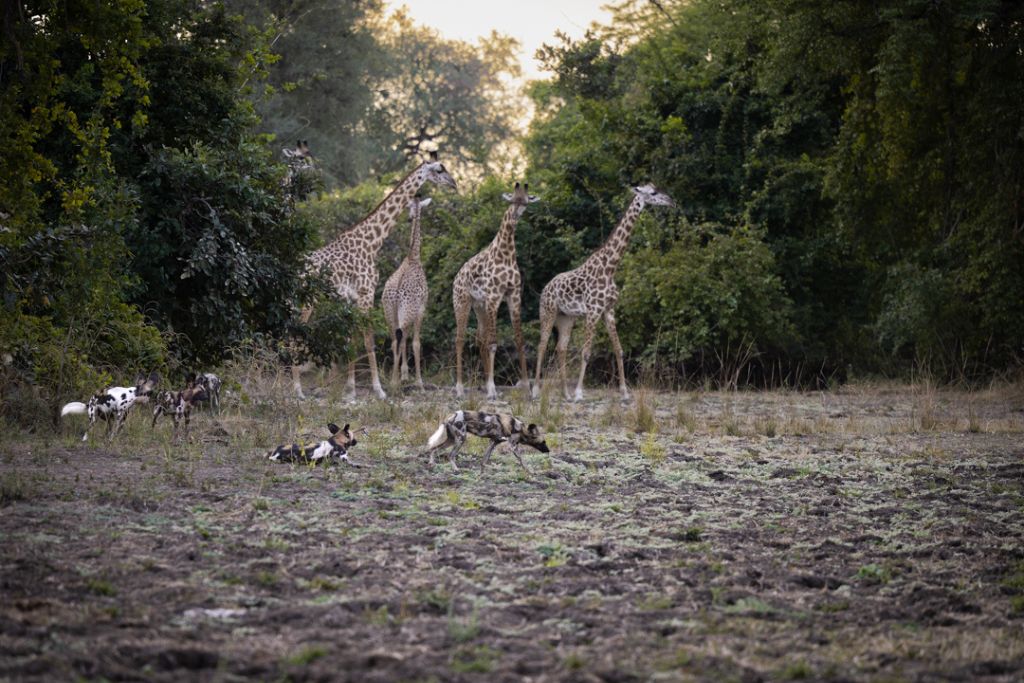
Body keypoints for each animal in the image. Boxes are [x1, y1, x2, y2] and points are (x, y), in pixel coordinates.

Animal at [382, 194, 434, 393]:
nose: (409, 217)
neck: (413, 257)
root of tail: (396, 291)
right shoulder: (421, 309)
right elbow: (417, 343)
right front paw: (418, 381)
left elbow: (404, 340)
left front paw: (404, 375)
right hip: (407, 311)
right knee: (401, 337)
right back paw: (395, 382)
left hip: (389, 313)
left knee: (395, 339)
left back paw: (393, 381)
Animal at [423, 409, 552, 473]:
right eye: (543, 442)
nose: (548, 451)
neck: (519, 428)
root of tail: (451, 416)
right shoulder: (512, 446)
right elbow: (522, 461)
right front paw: (530, 471)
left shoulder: (493, 442)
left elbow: (484, 460)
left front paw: (482, 472)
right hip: (460, 439)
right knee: (451, 455)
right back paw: (456, 469)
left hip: (450, 440)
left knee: (433, 448)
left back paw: (431, 464)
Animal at [452, 181, 540, 401]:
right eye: (512, 200)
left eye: (525, 202)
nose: (515, 216)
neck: (507, 254)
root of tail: (456, 277)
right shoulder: (493, 296)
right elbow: (493, 342)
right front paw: (492, 390)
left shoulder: (513, 295)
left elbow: (519, 340)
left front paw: (526, 386)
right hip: (462, 302)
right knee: (460, 339)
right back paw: (459, 388)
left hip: (479, 306)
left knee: (479, 339)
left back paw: (482, 384)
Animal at [532, 184, 675, 403]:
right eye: (653, 193)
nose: (671, 201)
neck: (611, 267)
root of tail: (546, 288)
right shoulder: (593, 311)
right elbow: (586, 352)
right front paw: (579, 393)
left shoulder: (609, 310)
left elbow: (619, 350)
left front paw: (624, 393)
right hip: (547, 312)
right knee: (541, 345)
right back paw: (535, 391)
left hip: (566, 318)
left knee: (561, 348)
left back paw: (565, 393)